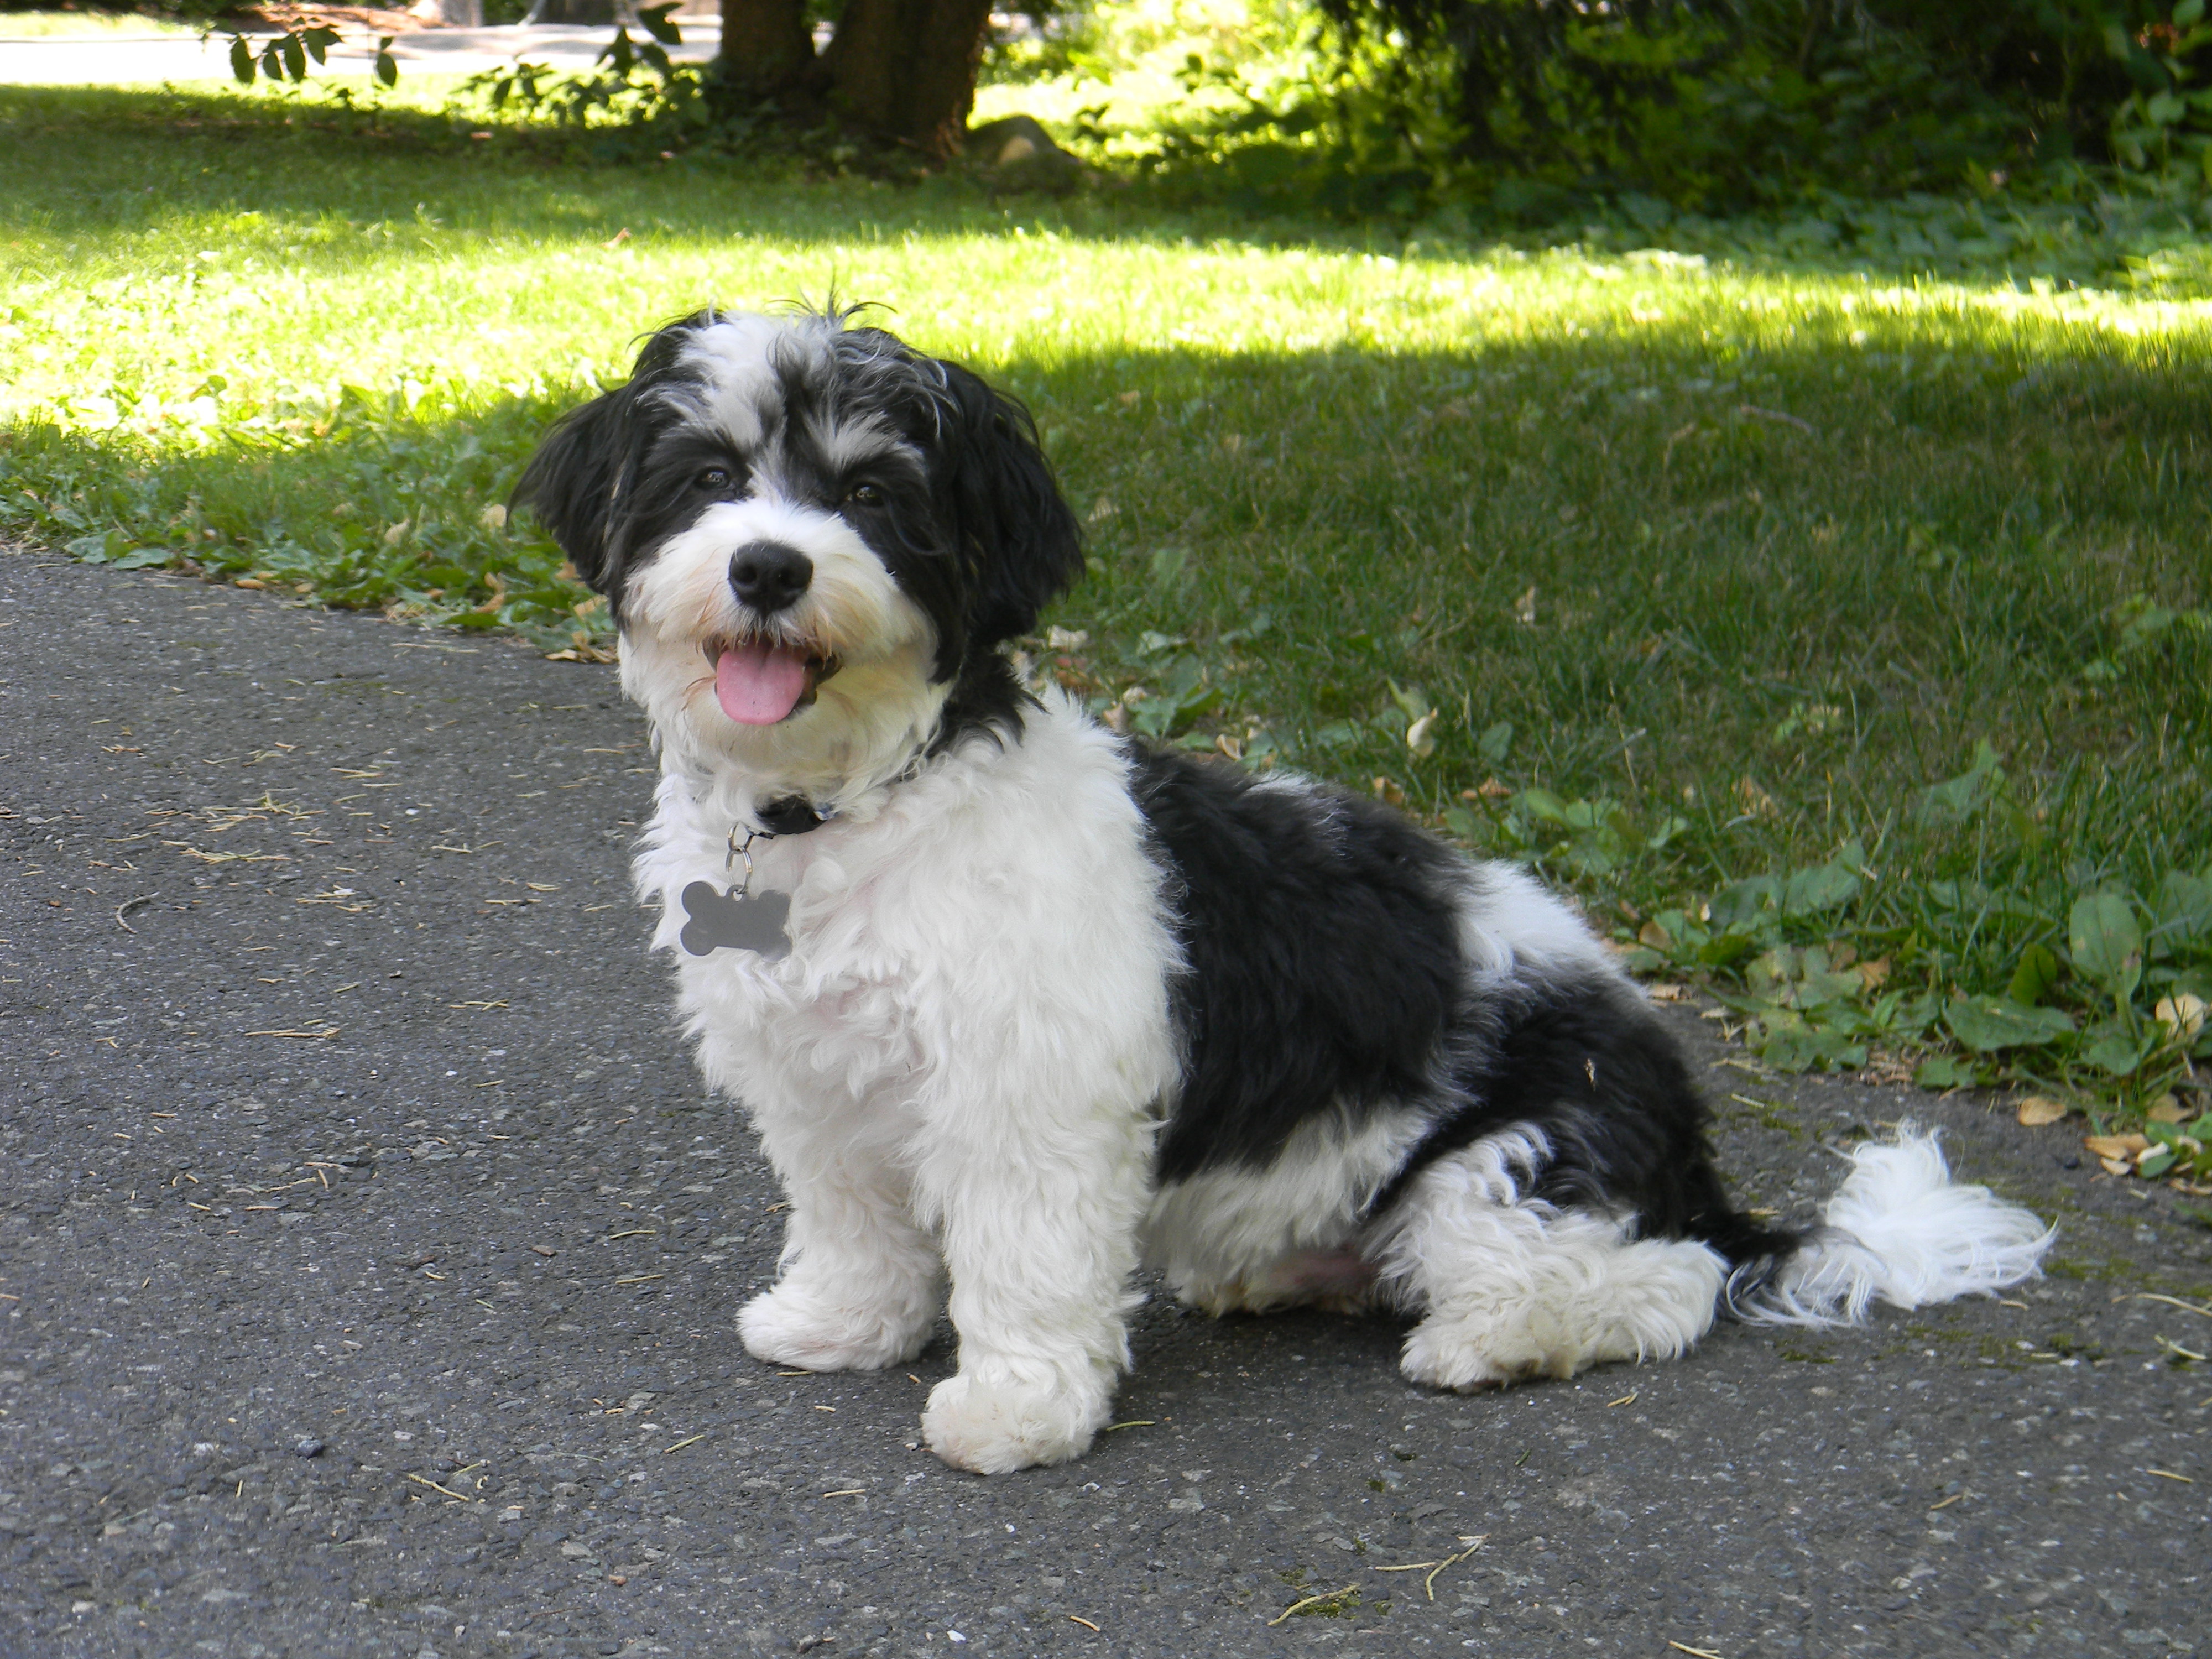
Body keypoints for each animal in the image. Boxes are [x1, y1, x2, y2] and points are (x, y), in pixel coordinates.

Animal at [509, 305, 2044, 1478]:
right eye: (708, 478)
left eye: (875, 495)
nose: (769, 565)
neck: (855, 795)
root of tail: (1698, 1164)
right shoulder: (818, 1080)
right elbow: (852, 1218)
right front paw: (843, 1322)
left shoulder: (1026, 1099)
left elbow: (1023, 1256)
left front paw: (1013, 1407)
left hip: (1505, 1168)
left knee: (1655, 1284)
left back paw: (1493, 1338)